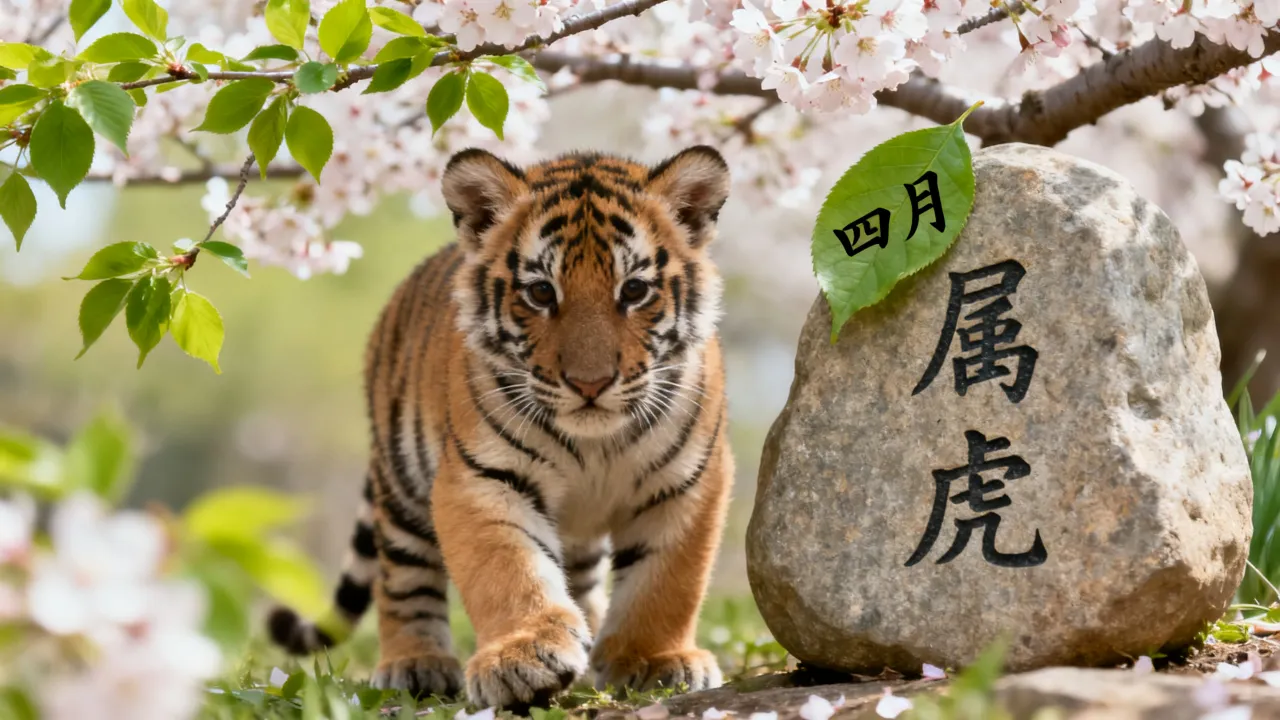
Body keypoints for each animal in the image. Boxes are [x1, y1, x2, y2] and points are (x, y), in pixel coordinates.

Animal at [268, 145, 736, 710]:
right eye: (540, 293)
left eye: (635, 290)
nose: (590, 383)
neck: (594, 445)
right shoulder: (482, 477)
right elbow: (508, 569)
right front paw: (523, 657)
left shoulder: (689, 482)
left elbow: (667, 581)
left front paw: (655, 660)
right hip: (401, 489)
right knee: (402, 580)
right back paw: (414, 664)